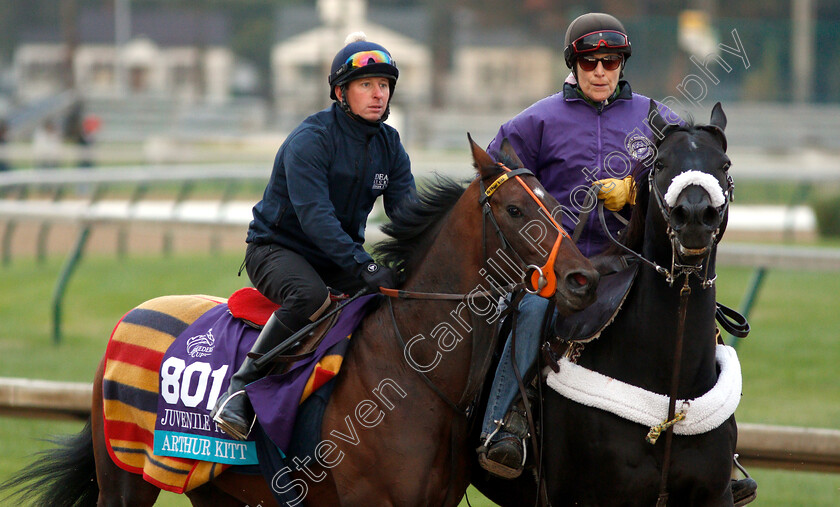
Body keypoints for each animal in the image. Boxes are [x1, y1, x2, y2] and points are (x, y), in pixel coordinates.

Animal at [3, 137, 600, 506]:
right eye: (516, 211)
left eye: (554, 202)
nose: (582, 279)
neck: (415, 371)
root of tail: (128, 317)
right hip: (125, 479)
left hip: (216, 488)